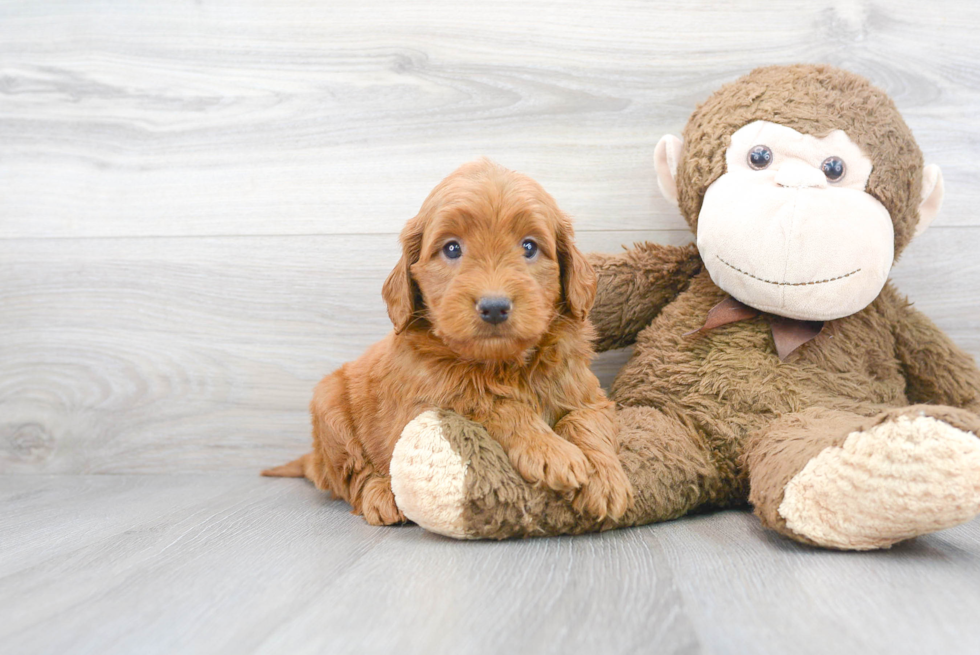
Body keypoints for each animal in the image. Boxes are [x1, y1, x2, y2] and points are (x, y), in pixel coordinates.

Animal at [264, 159, 636, 528]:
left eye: (529, 246)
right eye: (452, 248)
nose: (494, 306)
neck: (501, 365)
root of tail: (314, 459)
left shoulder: (587, 393)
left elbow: (585, 421)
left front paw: (606, 480)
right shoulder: (427, 403)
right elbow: (494, 404)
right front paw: (551, 451)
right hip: (329, 411)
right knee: (352, 477)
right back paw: (381, 494)